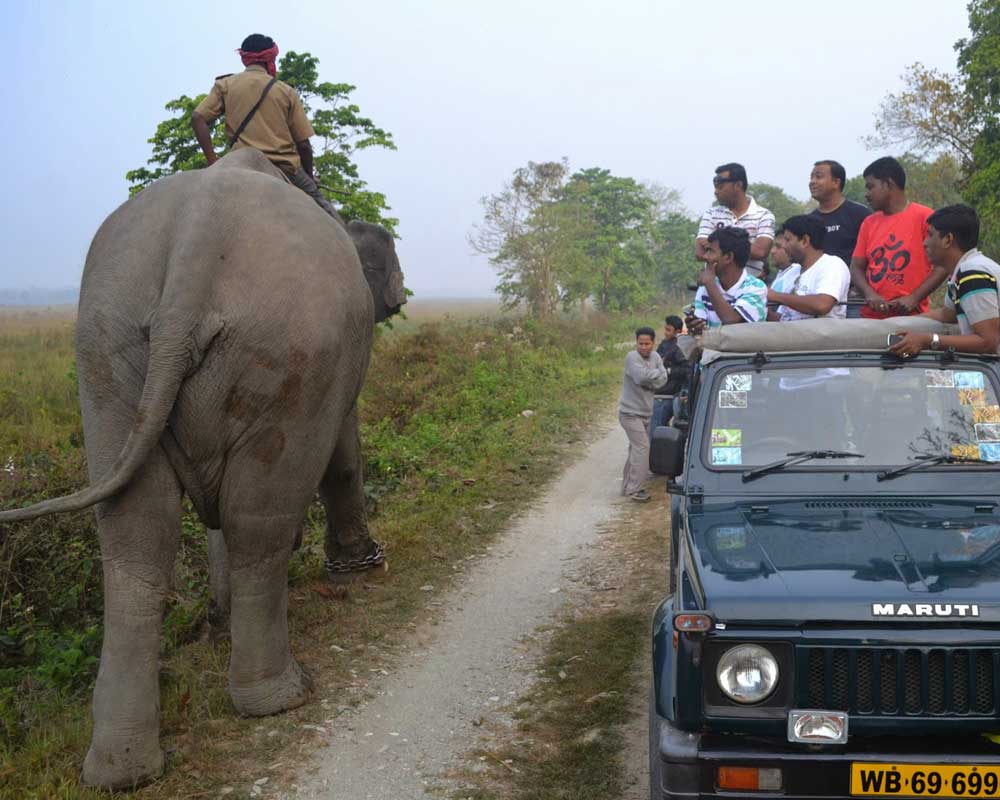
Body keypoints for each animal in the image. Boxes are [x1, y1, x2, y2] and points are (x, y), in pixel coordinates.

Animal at [0, 148, 406, 788]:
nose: (403, 294)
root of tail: (197, 237)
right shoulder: (339, 358)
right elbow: (342, 452)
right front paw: (361, 568)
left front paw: (218, 623)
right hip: (291, 350)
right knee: (257, 518)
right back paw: (281, 696)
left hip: (106, 346)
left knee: (138, 530)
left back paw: (119, 768)